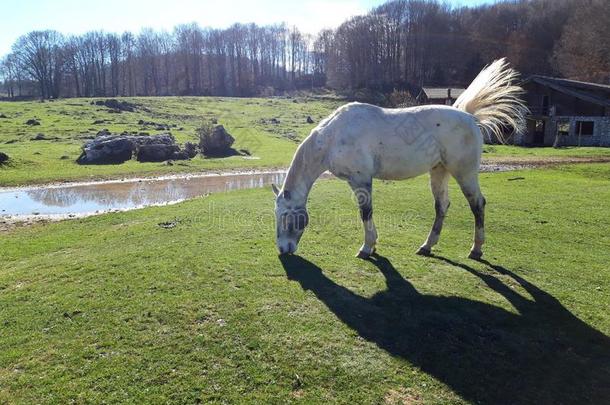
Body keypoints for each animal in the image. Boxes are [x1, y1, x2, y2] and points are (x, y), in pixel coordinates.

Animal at [274, 58, 524, 258]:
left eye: (286, 217)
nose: (283, 250)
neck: (334, 137)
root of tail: (469, 117)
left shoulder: (361, 180)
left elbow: (366, 212)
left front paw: (367, 248)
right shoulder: (355, 181)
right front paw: (373, 245)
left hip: (464, 173)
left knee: (477, 204)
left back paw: (476, 249)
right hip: (439, 171)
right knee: (442, 205)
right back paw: (426, 246)